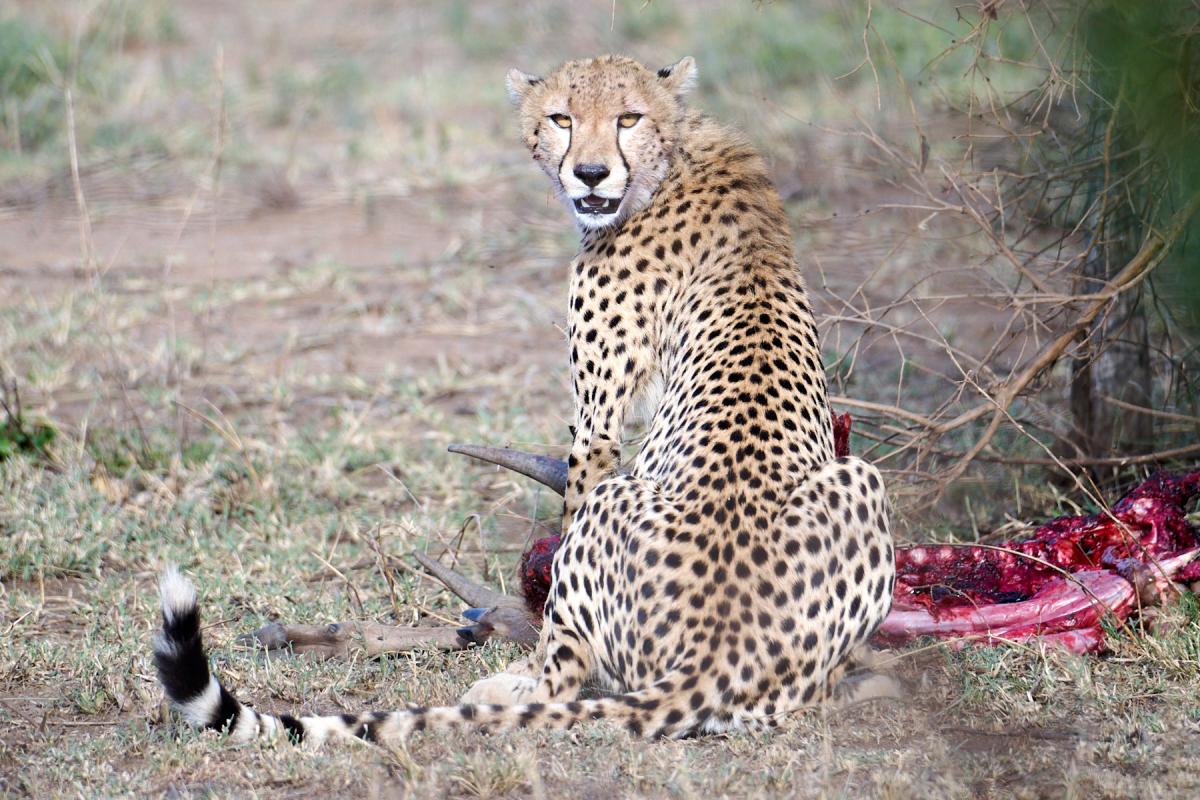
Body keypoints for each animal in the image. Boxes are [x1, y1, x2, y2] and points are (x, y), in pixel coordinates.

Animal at [152, 54, 897, 746]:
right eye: (562, 117)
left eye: (628, 117)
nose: (590, 174)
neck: (675, 156)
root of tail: (716, 660)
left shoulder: (596, 424)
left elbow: (563, 553)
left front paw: (523, 670)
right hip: (860, 477)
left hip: (635, 499)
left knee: (568, 664)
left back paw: (513, 684)